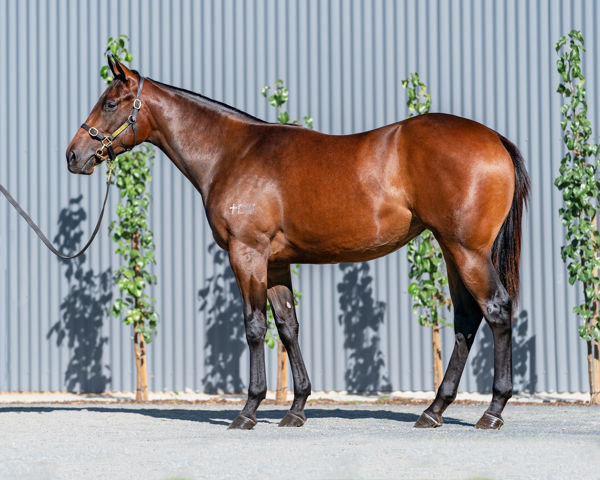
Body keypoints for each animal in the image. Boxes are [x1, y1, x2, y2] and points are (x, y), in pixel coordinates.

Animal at [68, 57, 528, 432]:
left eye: (111, 104)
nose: (73, 155)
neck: (231, 154)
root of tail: (494, 139)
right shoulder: (274, 263)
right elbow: (288, 327)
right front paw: (296, 409)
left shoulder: (247, 254)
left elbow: (255, 327)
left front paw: (248, 411)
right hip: (452, 250)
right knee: (466, 320)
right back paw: (434, 410)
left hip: (467, 251)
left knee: (496, 310)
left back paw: (492, 411)